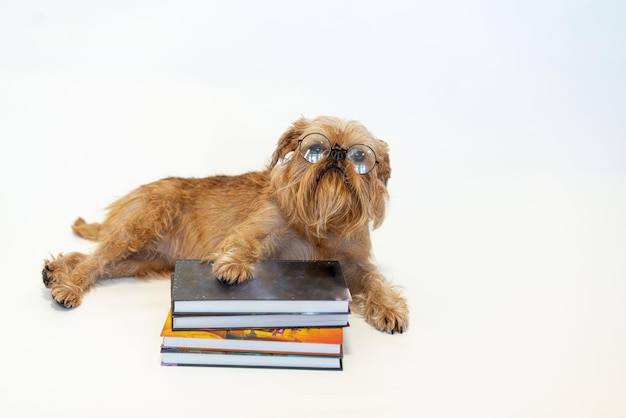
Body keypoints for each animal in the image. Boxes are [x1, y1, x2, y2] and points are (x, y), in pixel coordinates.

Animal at [41, 114, 408, 334]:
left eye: (360, 157)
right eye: (315, 148)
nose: (337, 154)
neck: (322, 222)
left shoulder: (355, 264)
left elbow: (374, 280)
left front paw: (389, 307)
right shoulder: (257, 231)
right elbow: (243, 243)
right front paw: (234, 267)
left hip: (142, 260)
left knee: (95, 260)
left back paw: (54, 271)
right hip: (140, 225)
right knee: (94, 260)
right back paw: (67, 286)